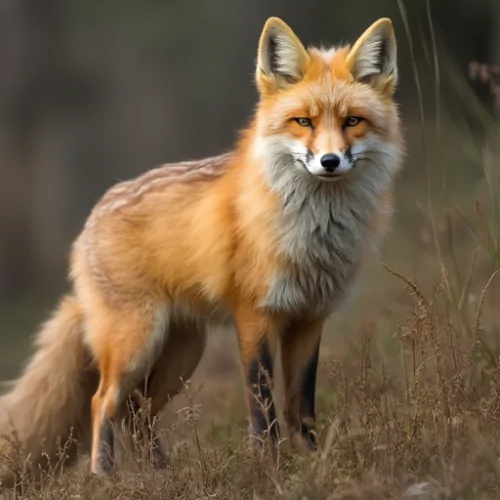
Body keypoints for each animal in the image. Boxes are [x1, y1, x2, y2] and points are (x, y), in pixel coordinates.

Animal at [0, 16, 402, 480]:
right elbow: (263, 407)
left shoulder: (308, 318)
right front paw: (268, 467)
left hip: (182, 352)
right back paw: (105, 477)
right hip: (136, 343)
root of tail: (92, 218)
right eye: (303, 121)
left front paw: (314, 463)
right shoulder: (254, 316)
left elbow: (300, 406)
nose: (330, 162)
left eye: (353, 121)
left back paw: (161, 474)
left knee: (137, 413)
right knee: (103, 402)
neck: (315, 233)